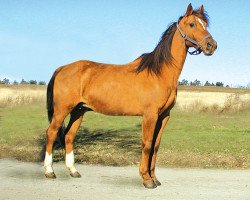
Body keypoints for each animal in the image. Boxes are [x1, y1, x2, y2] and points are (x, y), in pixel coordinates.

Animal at [44, 3, 217, 189]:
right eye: (192, 24)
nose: (211, 45)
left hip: (79, 111)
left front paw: (155, 178)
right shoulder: (150, 115)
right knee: (51, 133)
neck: (159, 73)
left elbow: (156, 146)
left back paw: (73, 171)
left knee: (69, 135)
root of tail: (62, 68)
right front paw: (147, 179)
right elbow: (147, 144)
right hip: (62, 110)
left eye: (205, 24)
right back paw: (49, 171)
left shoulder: (164, 116)